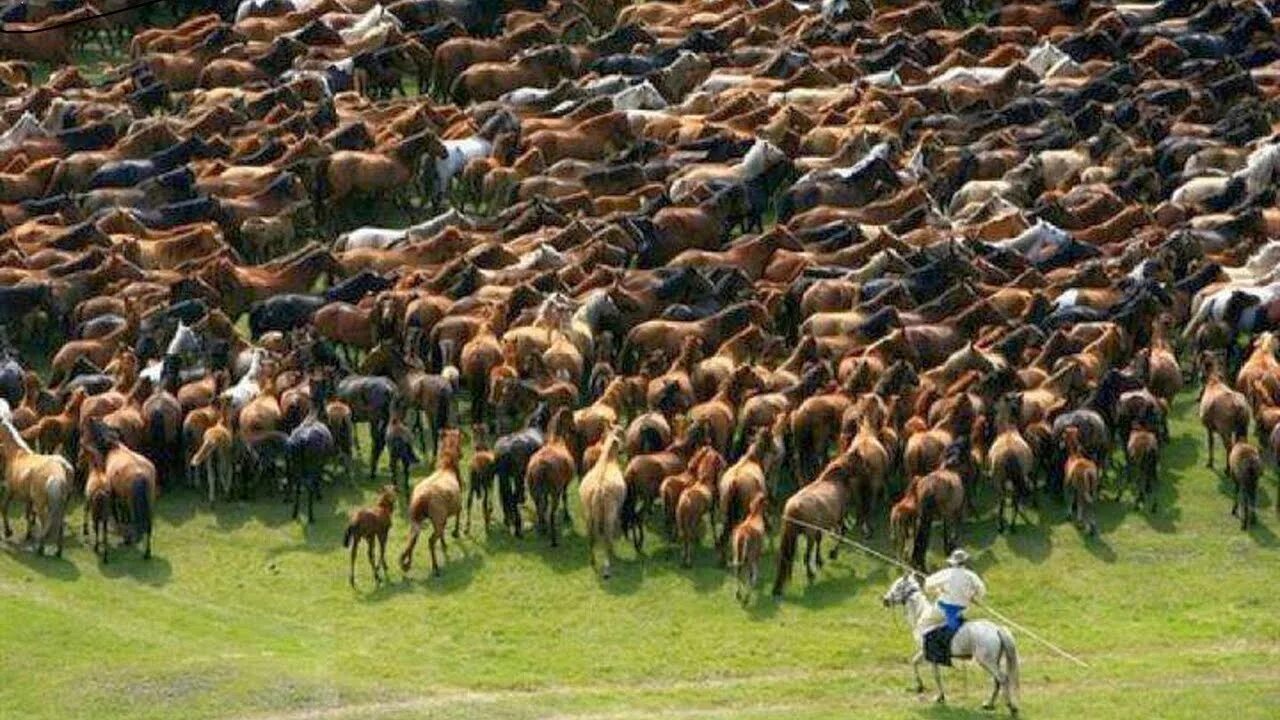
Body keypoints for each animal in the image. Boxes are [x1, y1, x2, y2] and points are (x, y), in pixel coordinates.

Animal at [880, 571, 1018, 712]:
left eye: (898, 586)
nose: (885, 600)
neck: (921, 613)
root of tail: (997, 629)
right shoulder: (926, 653)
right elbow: (916, 663)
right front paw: (921, 687)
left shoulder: (928, 654)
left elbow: (934, 674)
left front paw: (938, 696)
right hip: (992, 661)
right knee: (997, 680)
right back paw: (989, 704)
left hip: (986, 661)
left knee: (1002, 678)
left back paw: (1010, 706)